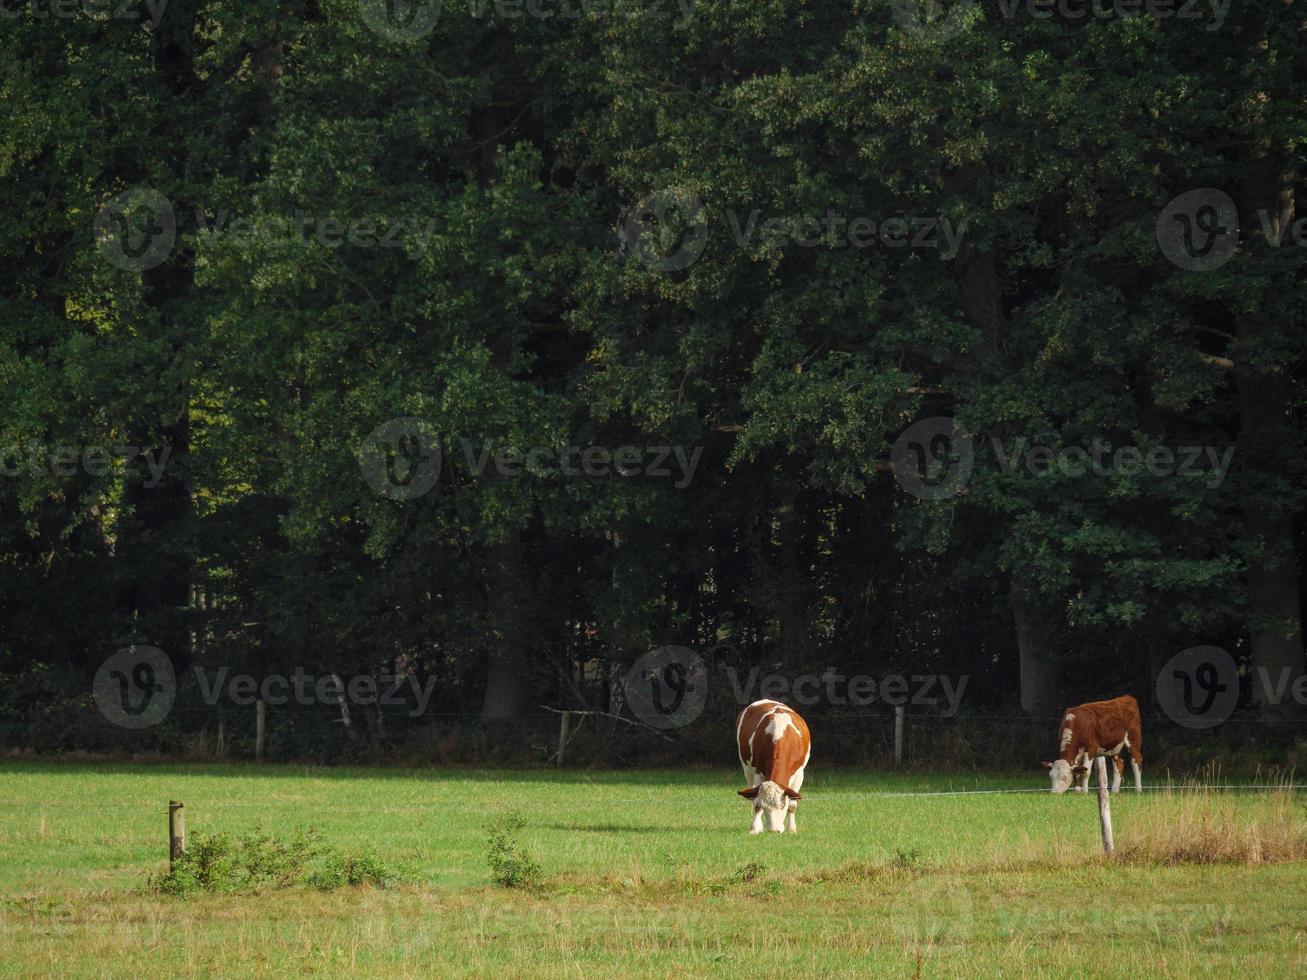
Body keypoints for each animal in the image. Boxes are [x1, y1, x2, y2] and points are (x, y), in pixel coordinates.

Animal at [737, 700, 805, 836]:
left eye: (782, 805)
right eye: (764, 806)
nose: (774, 830)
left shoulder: (799, 774)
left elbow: (793, 804)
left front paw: (792, 829)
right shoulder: (758, 773)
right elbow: (756, 804)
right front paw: (754, 829)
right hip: (747, 770)